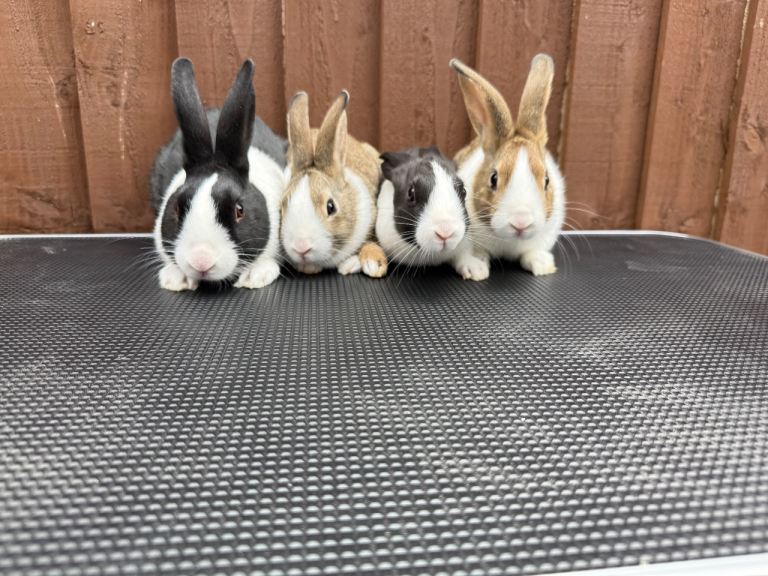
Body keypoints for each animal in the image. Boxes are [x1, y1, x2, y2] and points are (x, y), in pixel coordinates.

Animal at [280, 90, 387, 278]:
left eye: (331, 207)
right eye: (283, 206)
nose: (301, 247)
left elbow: (372, 241)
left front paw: (371, 264)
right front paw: (308, 268)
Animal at [450, 54, 566, 276]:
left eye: (546, 180)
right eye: (493, 178)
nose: (521, 221)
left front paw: (542, 265)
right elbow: (468, 254)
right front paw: (476, 269)